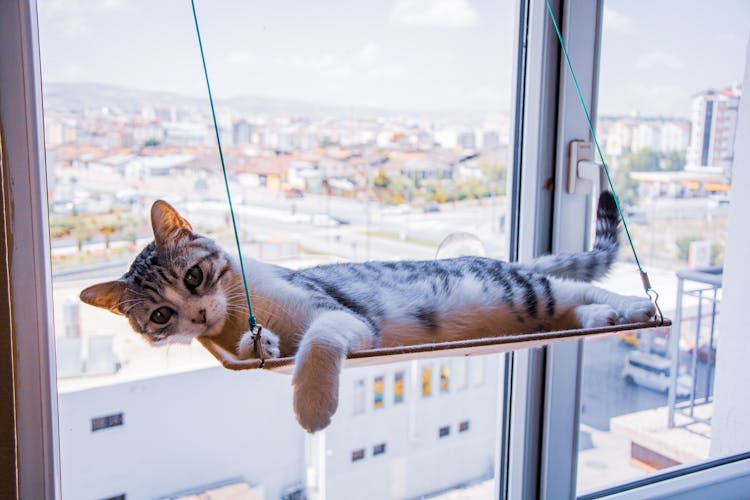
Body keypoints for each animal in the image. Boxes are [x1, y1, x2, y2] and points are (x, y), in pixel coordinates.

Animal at [81, 191, 656, 434]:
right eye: (160, 316)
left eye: (194, 277)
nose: (198, 318)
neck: (244, 310)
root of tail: (504, 261)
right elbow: (266, 345)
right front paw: (259, 345)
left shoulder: (342, 314)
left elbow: (319, 339)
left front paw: (313, 405)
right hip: (533, 307)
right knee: (568, 308)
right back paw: (600, 322)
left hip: (520, 289)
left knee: (569, 287)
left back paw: (633, 304)